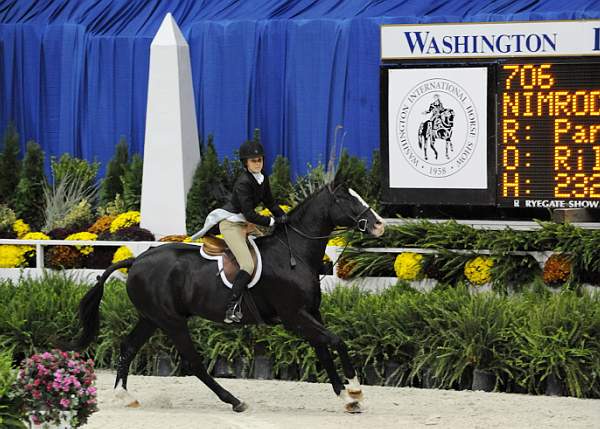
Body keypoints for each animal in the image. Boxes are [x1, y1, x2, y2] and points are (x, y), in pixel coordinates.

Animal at [74, 174, 384, 412]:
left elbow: (324, 350)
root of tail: (135, 260)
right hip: (171, 321)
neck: (293, 253)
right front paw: (355, 390)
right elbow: (336, 341)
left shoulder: (310, 313)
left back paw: (125, 396)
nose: (379, 224)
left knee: (128, 347)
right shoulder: (294, 316)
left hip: (151, 318)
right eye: (347, 199)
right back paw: (235, 401)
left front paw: (346, 398)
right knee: (194, 363)